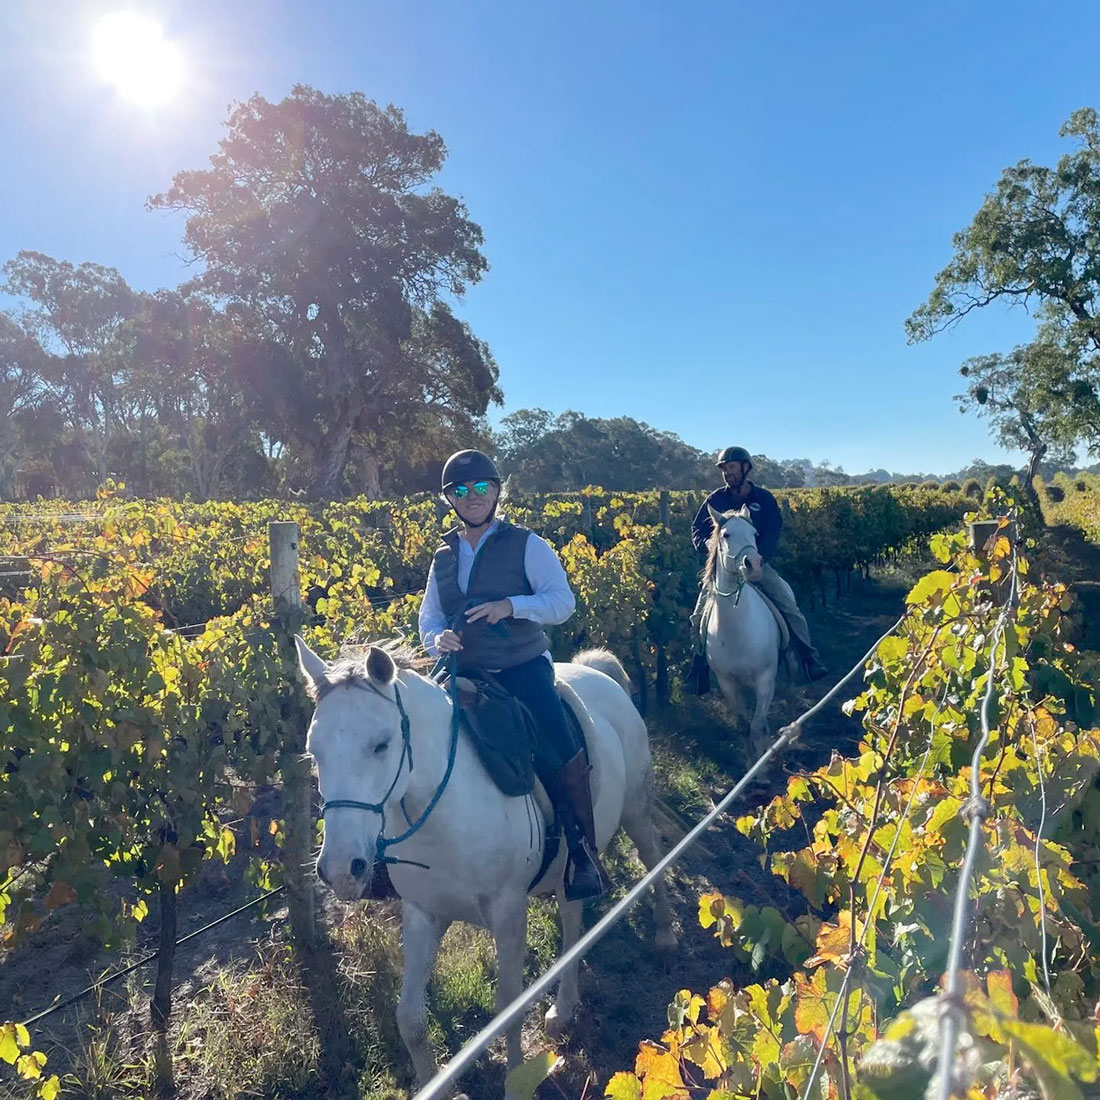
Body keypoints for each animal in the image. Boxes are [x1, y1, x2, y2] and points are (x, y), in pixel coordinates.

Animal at [292, 642, 673, 1095]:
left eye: (381, 744)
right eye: (314, 752)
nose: (340, 869)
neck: (446, 808)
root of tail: (599, 673)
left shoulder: (508, 913)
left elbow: (508, 1009)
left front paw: (517, 1085)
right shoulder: (423, 914)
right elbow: (410, 1019)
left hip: (636, 811)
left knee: (653, 859)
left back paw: (665, 935)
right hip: (572, 866)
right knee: (573, 920)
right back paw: (563, 1008)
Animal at [704, 503, 783, 752]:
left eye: (755, 534)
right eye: (726, 535)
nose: (754, 564)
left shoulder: (766, 679)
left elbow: (756, 728)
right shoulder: (727, 684)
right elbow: (743, 726)